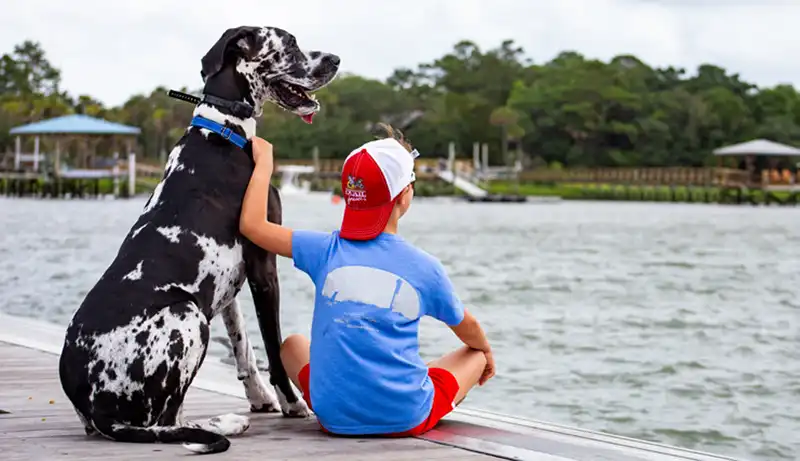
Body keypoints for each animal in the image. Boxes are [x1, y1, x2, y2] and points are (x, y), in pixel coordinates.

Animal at [58, 26, 340, 452]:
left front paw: (260, 398)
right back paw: (225, 423)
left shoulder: (228, 287)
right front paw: (292, 404)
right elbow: (272, 347)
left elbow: (244, 347)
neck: (224, 131)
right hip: (187, 314)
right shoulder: (264, 266)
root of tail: (96, 407)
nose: (335, 60)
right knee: (170, 421)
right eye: (289, 44)